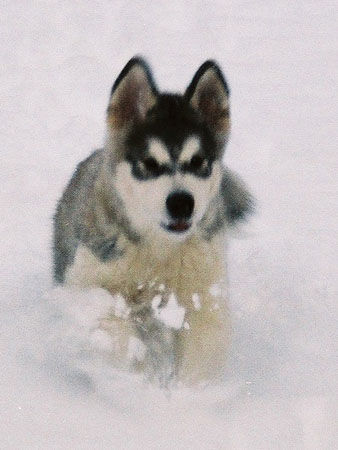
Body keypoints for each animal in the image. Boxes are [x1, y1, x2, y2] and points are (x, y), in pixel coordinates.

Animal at [53, 56, 254, 386]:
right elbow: (114, 328)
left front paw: (187, 395)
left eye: (197, 162)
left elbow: (203, 350)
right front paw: (136, 377)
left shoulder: (204, 295)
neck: (157, 252)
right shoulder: (87, 283)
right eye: (149, 164)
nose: (182, 203)